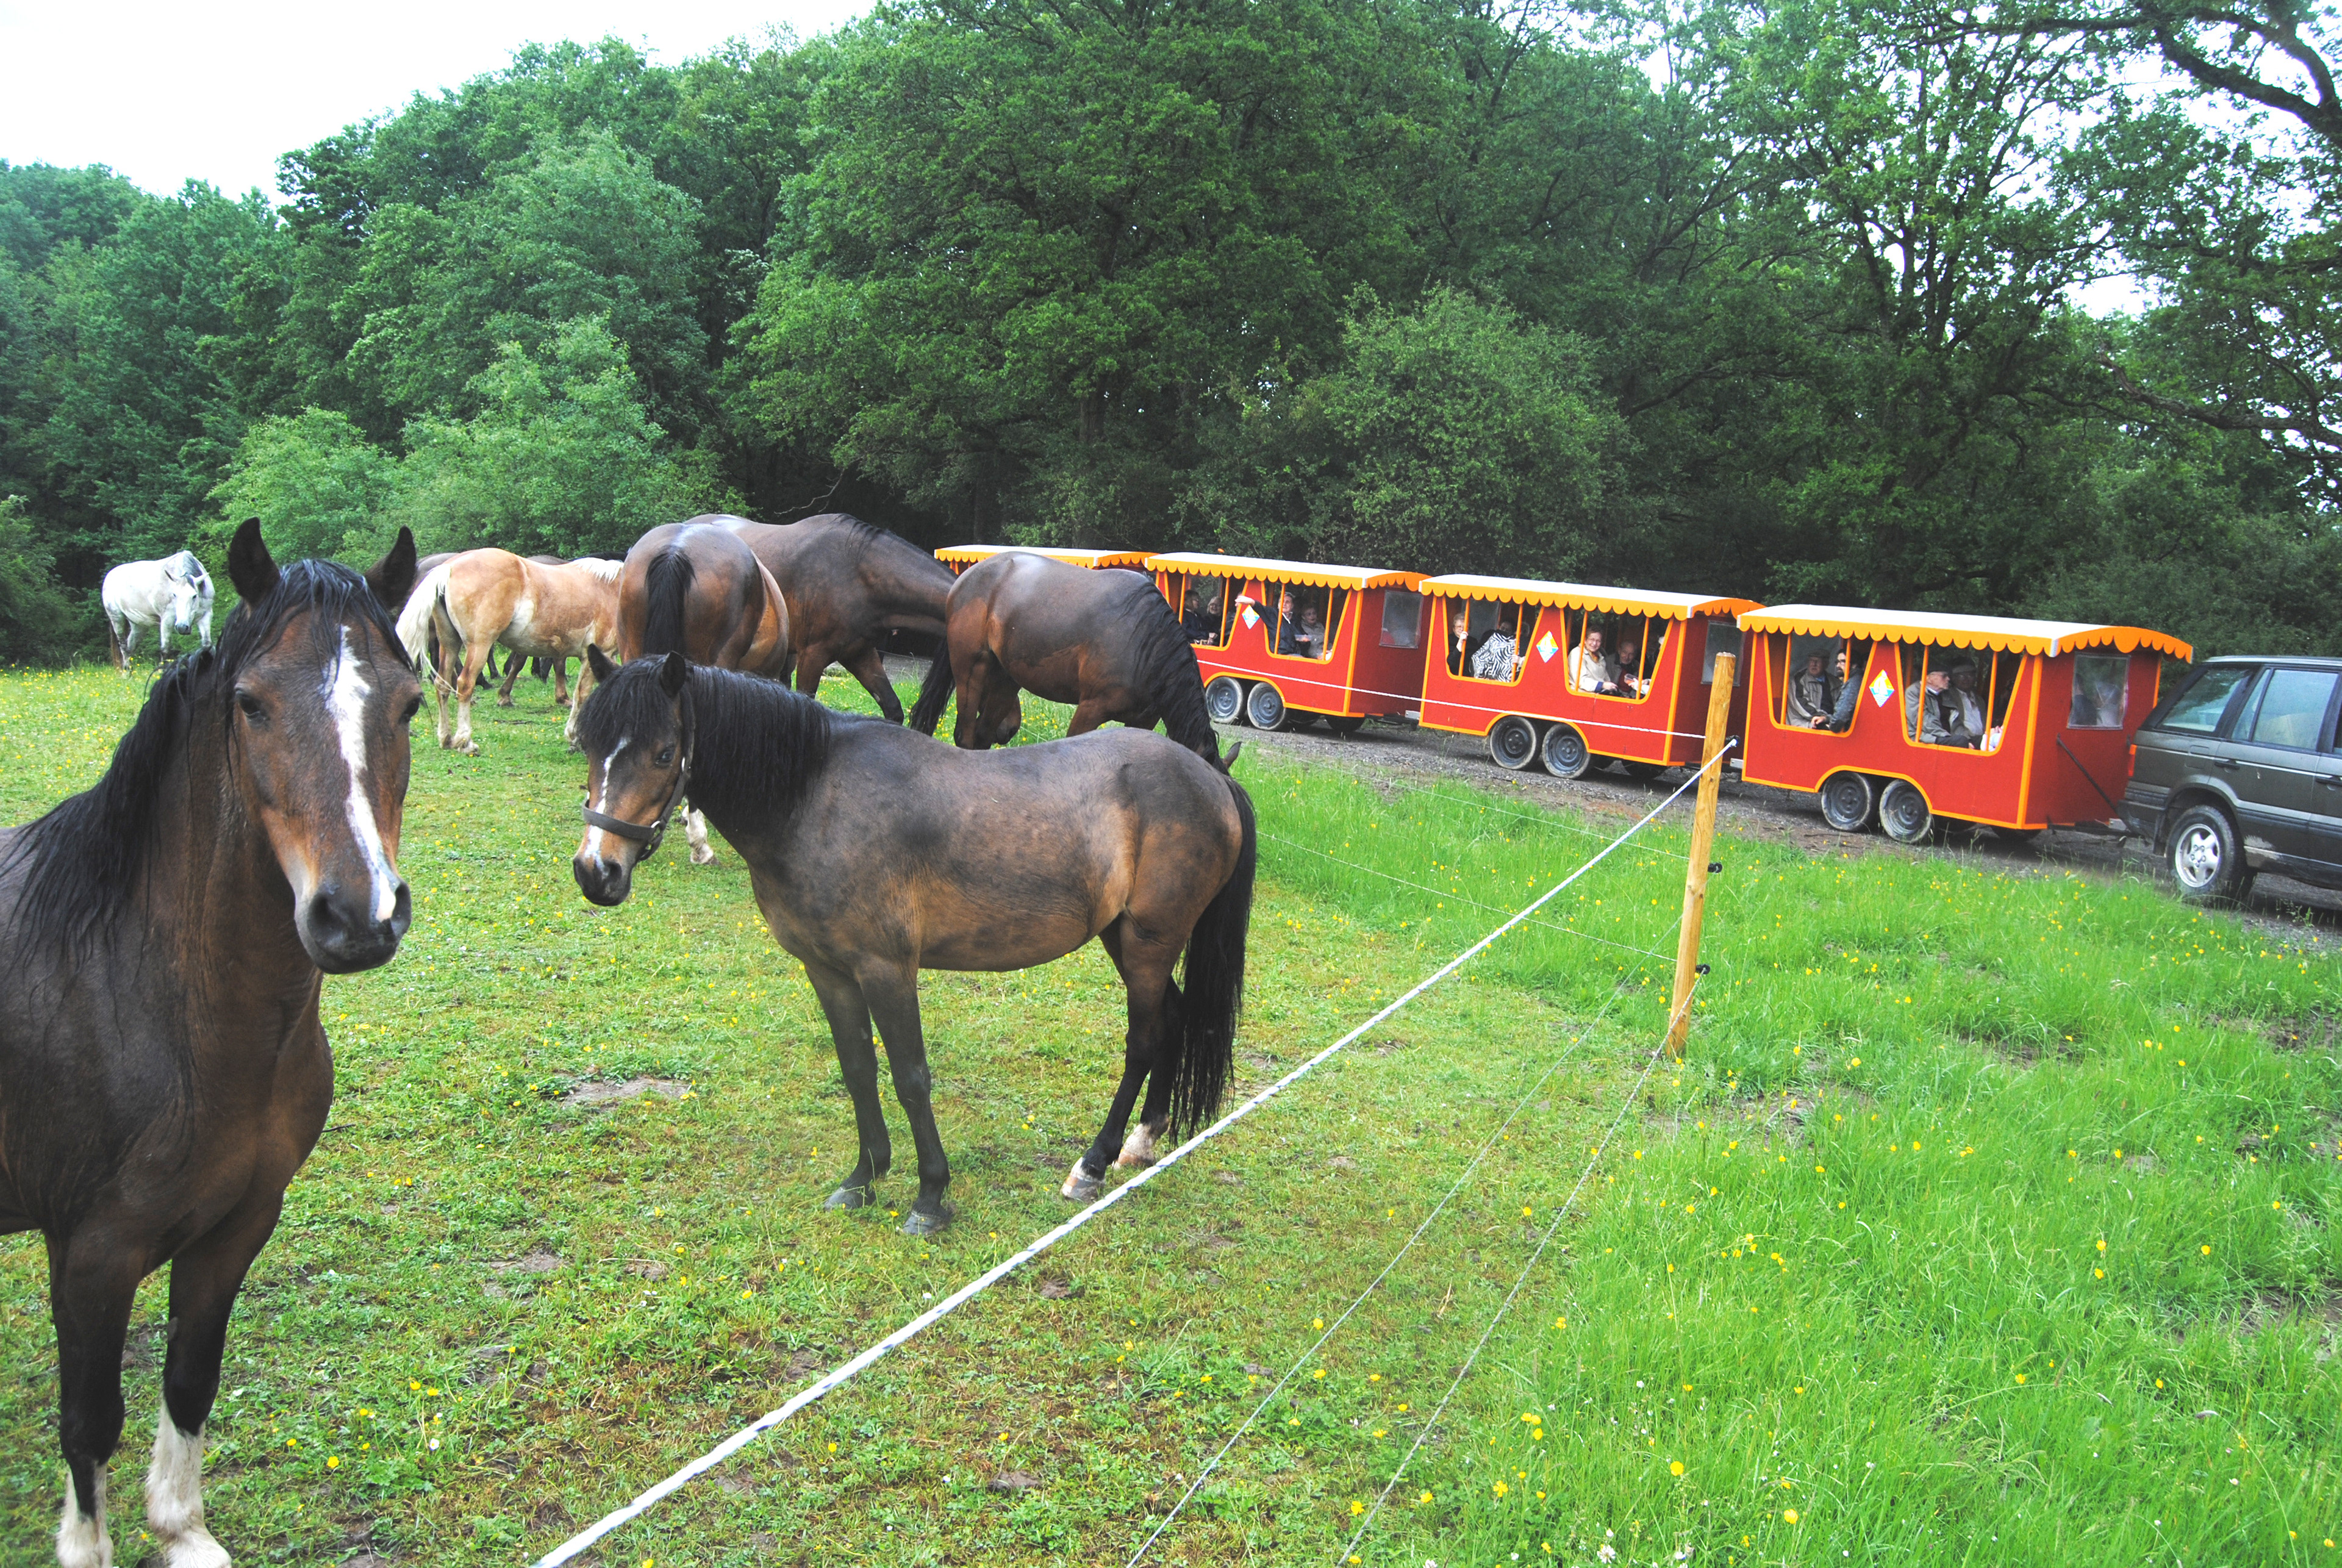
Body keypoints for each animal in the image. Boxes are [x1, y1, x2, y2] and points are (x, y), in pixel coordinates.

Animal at [101, 551, 215, 671]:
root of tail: (109, 575)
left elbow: (207, 645)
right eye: (174, 595)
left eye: (194, 596)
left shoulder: (206, 616)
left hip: (139, 625)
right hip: (117, 619)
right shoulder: (167, 619)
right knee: (123, 647)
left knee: (130, 647)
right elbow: (165, 650)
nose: (182, 627)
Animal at [396, 549, 623, 755]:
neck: (613, 589)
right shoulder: (596, 654)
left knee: (442, 685)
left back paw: (446, 739)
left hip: (450, 644)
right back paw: (466, 742)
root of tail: (450, 567)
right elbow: (582, 695)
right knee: (465, 685)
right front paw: (575, 737)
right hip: (479, 646)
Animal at [570, 649, 1256, 1234]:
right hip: (1127, 940)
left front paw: (930, 1196)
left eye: (664, 753)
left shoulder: (887, 968)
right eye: (591, 744)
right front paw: (864, 1177)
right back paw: (1142, 1143)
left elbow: (910, 1076)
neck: (815, 796)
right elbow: (858, 1068)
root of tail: (1211, 778)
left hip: (1148, 943)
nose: (596, 871)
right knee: (1172, 1019)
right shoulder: (829, 970)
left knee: (1144, 1038)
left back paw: (1092, 1164)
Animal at [908, 550, 1223, 762]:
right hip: (972, 671)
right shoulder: (1091, 708)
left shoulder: (1144, 722)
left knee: (982, 737)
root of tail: (963, 581)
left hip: (1005, 680)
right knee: (965, 736)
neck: (1147, 640)